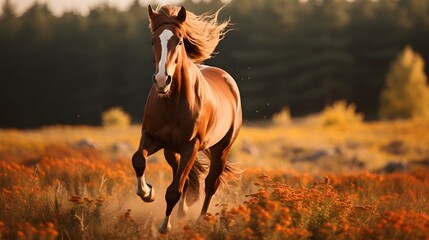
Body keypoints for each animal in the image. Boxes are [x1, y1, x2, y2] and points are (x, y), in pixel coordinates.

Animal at [131, 4, 241, 234]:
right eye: (152, 41)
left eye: (180, 41)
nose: (162, 80)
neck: (172, 101)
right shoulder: (152, 137)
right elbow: (138, 159)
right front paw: (147, 193)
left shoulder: (191, 146)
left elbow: (174, 190)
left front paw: (164, 226)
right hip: (171, 150)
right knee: (183, 177)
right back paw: (182, 212)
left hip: (221, 149)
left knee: (210, 183)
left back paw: (201, 220)